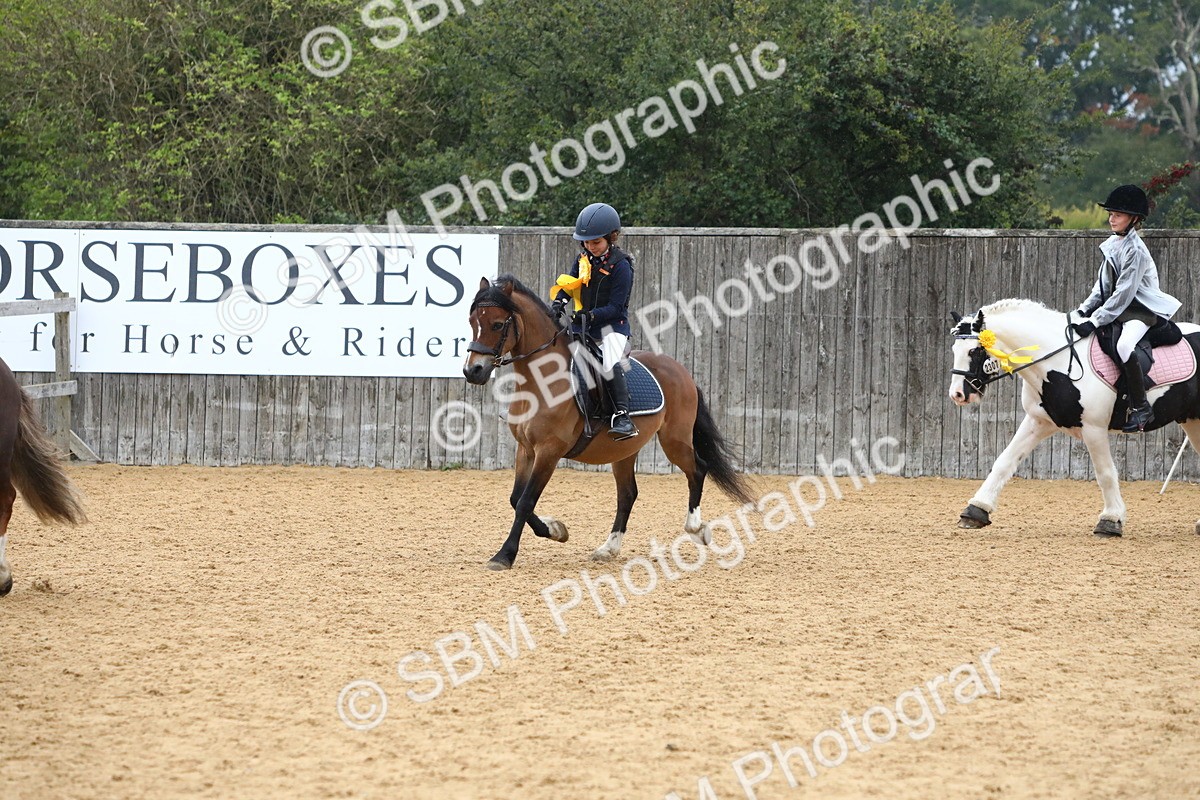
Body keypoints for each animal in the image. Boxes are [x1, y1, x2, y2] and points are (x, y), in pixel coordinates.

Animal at [463, 275, 754, 570]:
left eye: (498, 324)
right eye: (472, 321)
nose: (472, 371)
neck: (542, 382)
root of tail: (681, 371)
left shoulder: (549, 451)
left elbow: (525, 502)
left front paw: (505, 555)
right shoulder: (525, 449)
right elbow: (515, 499)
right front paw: (556, 530)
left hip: (674, 440)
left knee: (697, 469)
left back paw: (696, 528)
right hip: (624, 450)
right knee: (627, 494)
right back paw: (609, 548)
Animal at [947, 298, 1200, 537]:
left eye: (974, 351)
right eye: (954, 349)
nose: (957, 394)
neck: (1054, 362)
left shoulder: (1093, 428)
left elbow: (1105, 473)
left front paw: (1110, 521)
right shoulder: (1038, 422)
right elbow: (1004, 461)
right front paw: (975, 510)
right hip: (1193, 422)